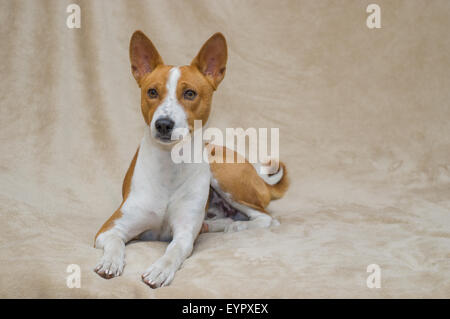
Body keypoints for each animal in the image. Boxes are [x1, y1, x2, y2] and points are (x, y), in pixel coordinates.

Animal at [93, 31, 290, 288]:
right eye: (152, 92)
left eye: (189, 94)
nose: (163, 124)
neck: (169, 165)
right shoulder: (110, 228)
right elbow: (115, 243)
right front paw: (110, 262)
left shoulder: (185, 234)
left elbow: (174, 251)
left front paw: (160, 269)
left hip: (223, 175)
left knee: (266, 218)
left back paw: (233, 224)